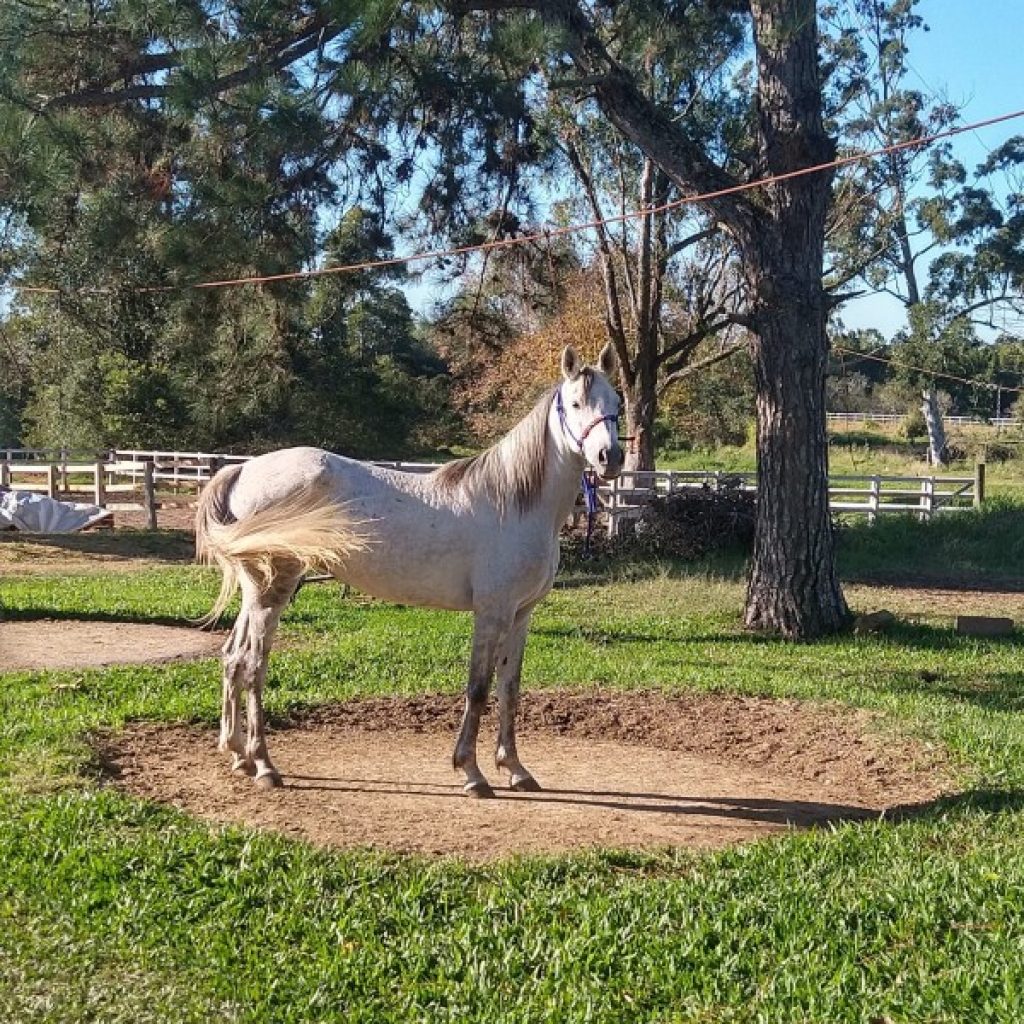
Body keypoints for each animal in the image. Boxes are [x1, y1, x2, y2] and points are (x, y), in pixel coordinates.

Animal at [195, 343, 623, 797]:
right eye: (575, 403)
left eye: (617, 403)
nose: (610, 458)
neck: (516, 502)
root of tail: (242, 469)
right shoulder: (492, 614)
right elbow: (478, 689)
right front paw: (471, 772)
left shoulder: (521, 615)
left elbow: (510, 689)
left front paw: (515, 768)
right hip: (272, 593)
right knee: (254, 667)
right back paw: (264, 764)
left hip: (254, 594)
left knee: (233, 659)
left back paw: (238, 754)